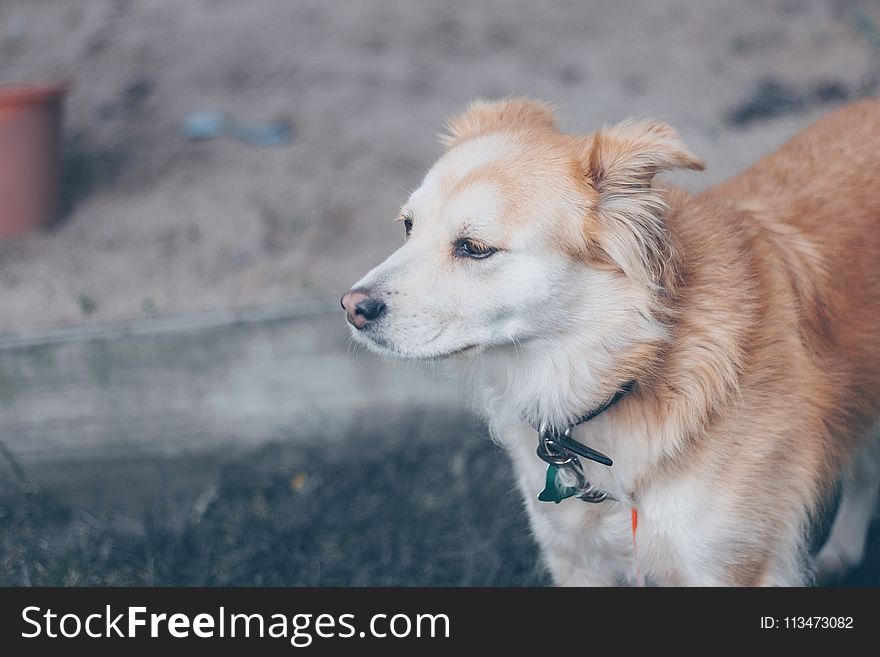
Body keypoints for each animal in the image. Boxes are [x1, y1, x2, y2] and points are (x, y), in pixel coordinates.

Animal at [340, 97, 876, 584]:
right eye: (409, 226)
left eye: (474, 247)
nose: (350, 307)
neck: (628, 370)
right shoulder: (576, 560)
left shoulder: (732, 568)